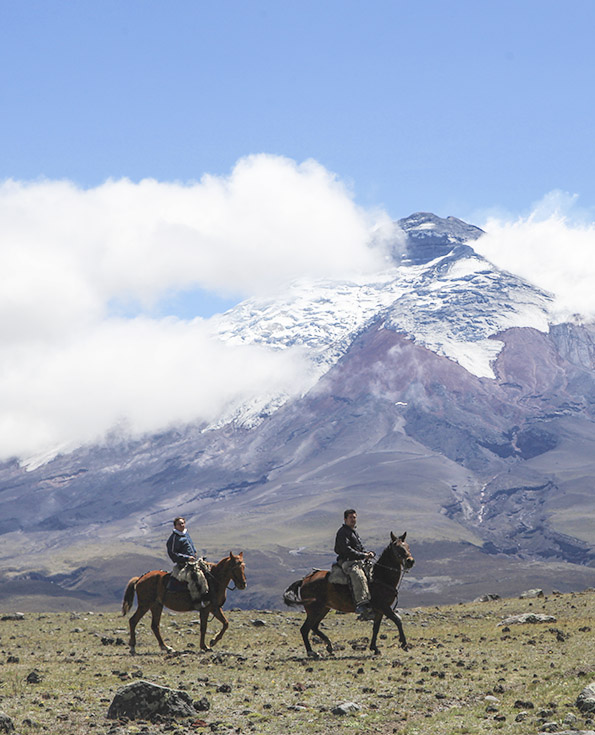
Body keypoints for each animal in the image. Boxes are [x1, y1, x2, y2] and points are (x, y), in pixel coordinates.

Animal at [284, 532, 414, 660]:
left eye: (407, 546)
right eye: (397, 547)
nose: (410, 561)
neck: (380, 576)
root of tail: (304, 580)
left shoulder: (379, 610)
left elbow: (376, 628)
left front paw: (374, 648)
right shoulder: (383, 606)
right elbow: (397, 620)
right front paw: (404, 644)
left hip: (323, 608)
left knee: (314, 627)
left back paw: (329, 646)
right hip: (314, 609)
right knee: (305, 629)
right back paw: (312, 652)